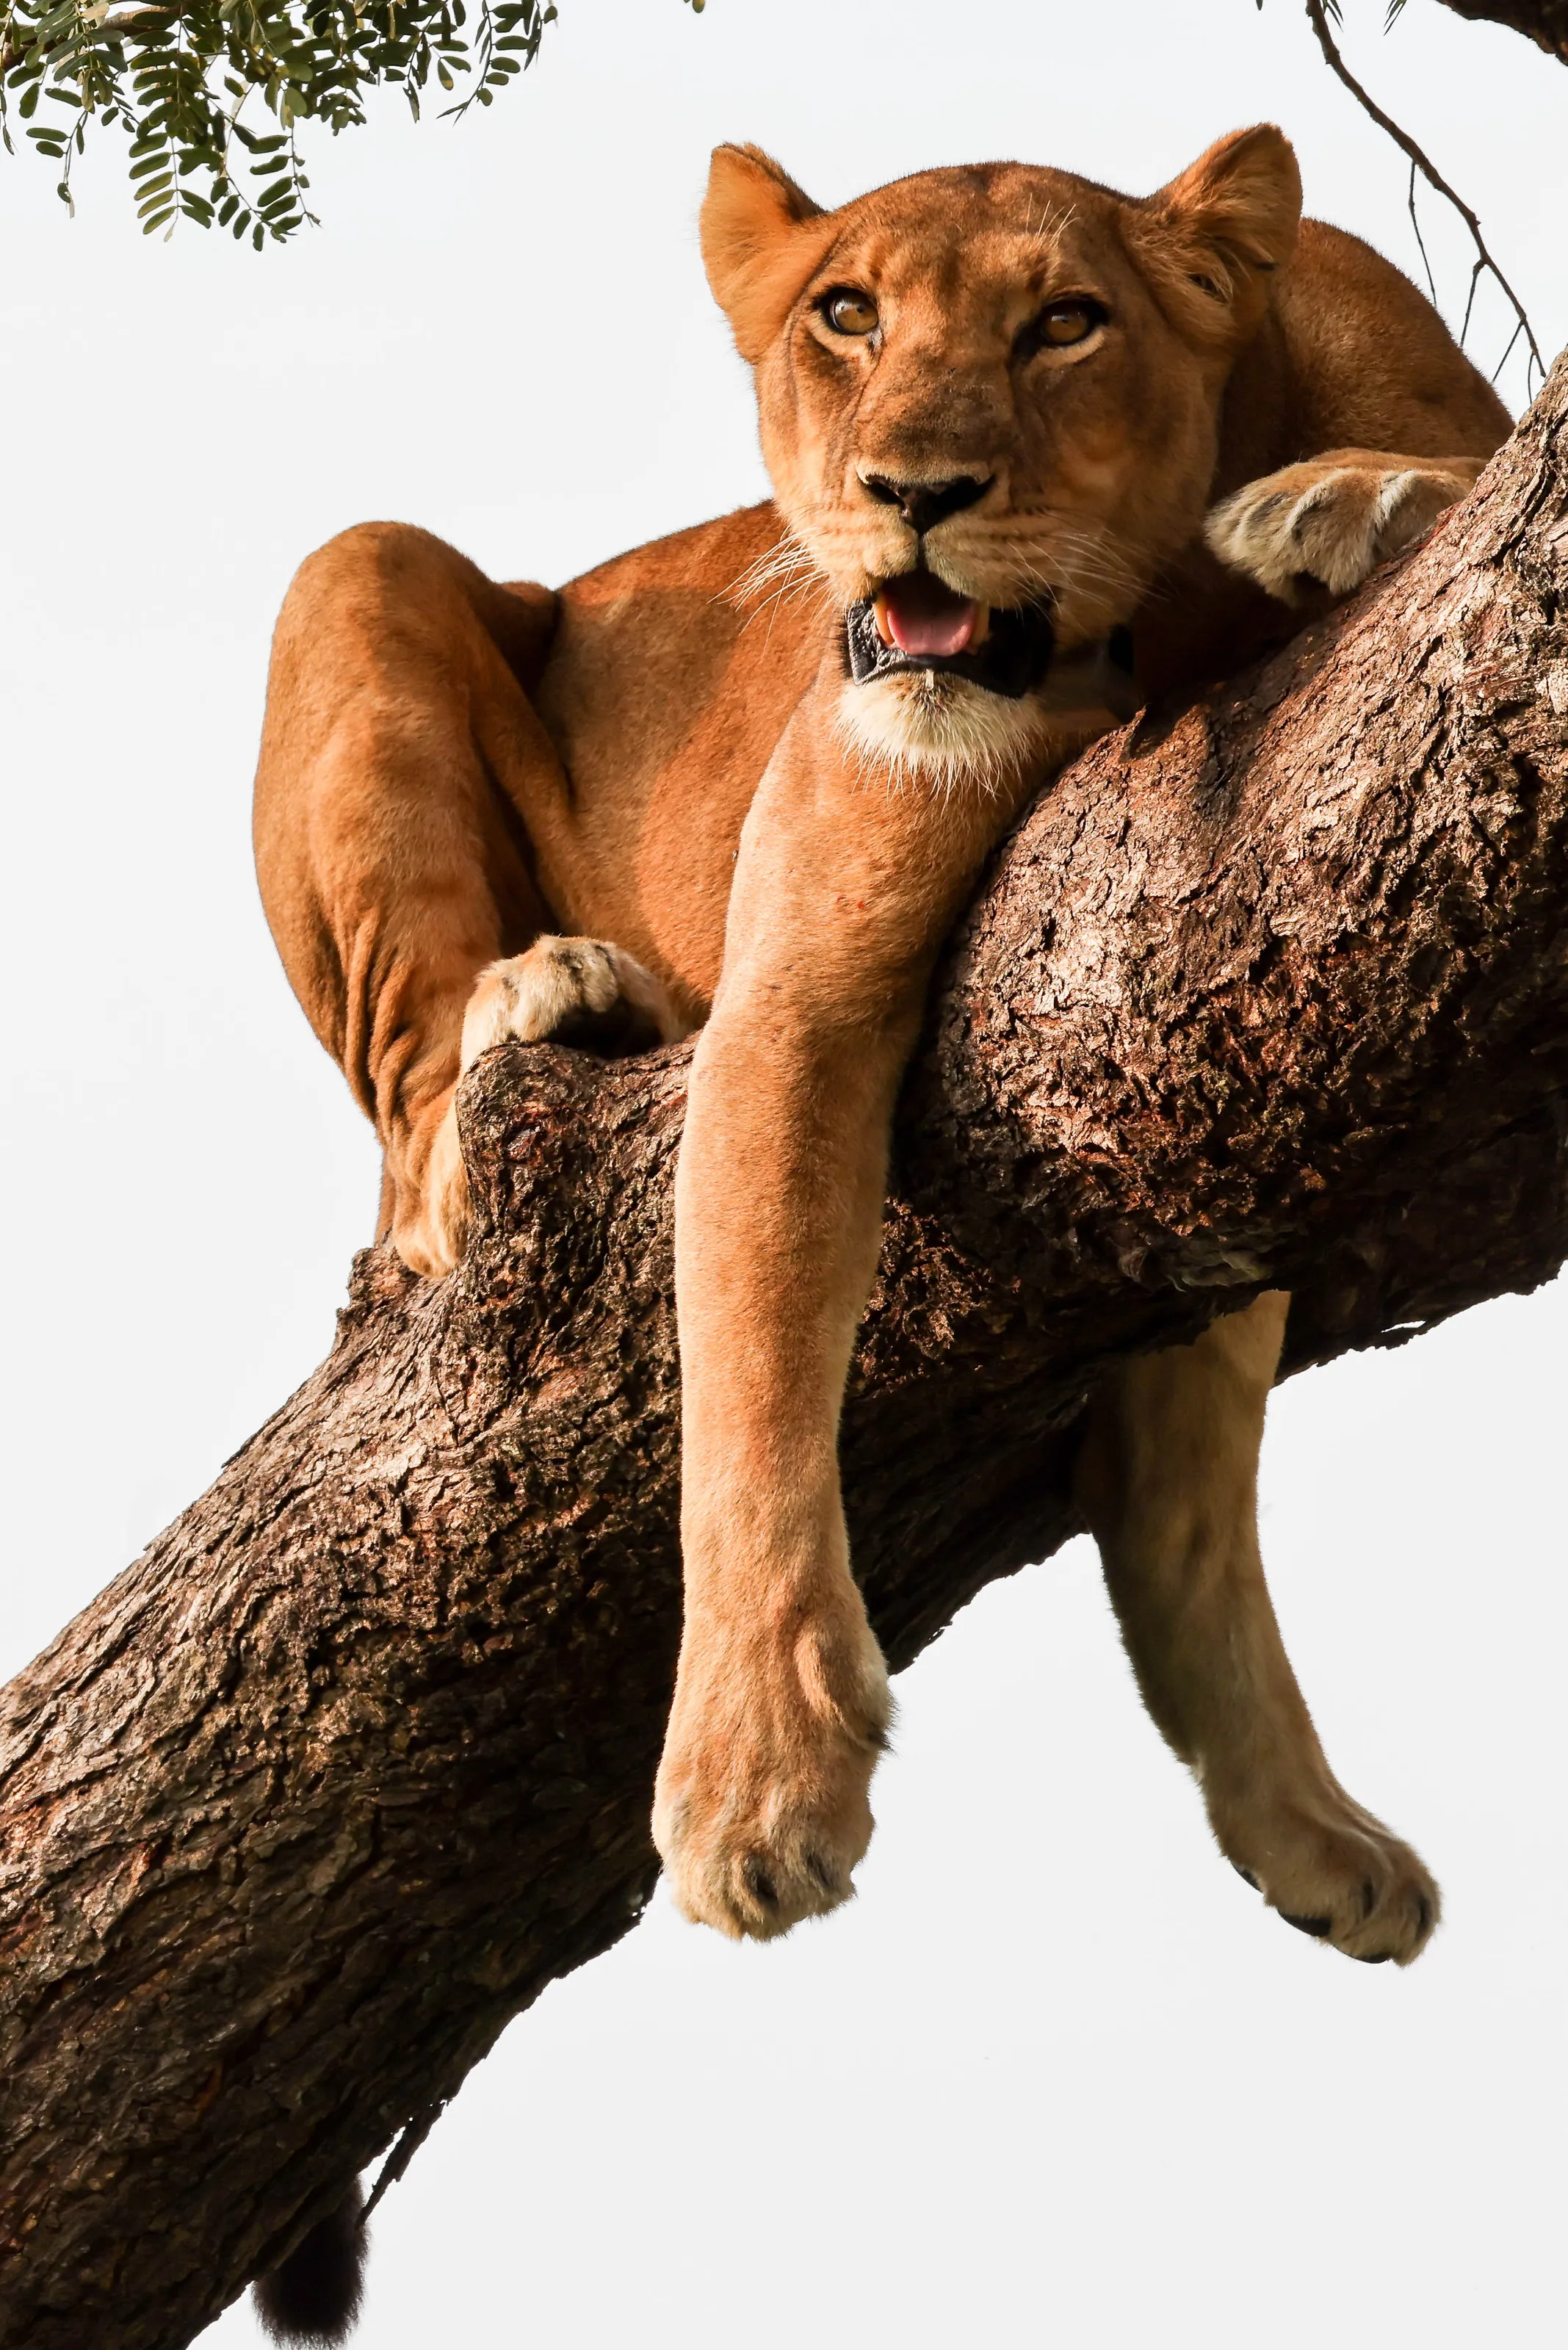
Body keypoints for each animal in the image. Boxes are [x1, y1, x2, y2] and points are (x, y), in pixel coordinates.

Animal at [256, 128, 1506, 1983]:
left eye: (1065, 323)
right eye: (845, 315)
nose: (909, 490)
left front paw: (1336, 504)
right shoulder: (801, 971)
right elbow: (753, 1375)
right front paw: (754, 1785)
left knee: (1170, 1477)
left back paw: (1302, 1826)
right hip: (360, 565)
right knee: (416, 1126)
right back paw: (544, 1000)